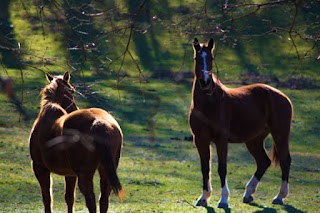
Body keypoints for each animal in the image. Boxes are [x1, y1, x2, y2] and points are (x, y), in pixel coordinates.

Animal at [28, 72, 124, 212]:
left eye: (72, 90)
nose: (74, 108)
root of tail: (99, 123)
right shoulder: (70, 174)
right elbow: (69, 198)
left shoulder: (40, 167)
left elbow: (47, 199)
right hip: (105, 169)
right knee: (104, 199)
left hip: (85, 173)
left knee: (91, 200)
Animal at [190, 37, 292, 208]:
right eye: (197, 58)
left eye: (211, 58)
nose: (205, 81)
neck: (209, 104)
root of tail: (283, 97)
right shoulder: (200, 140)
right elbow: (205, 168)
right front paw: (203, 198)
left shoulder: (221, 140)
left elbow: (222, 168)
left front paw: (224, 200)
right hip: (254, 140)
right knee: (264, 162)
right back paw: (249, 194)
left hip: (280, 135)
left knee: (285, 161)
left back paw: (279, 197)